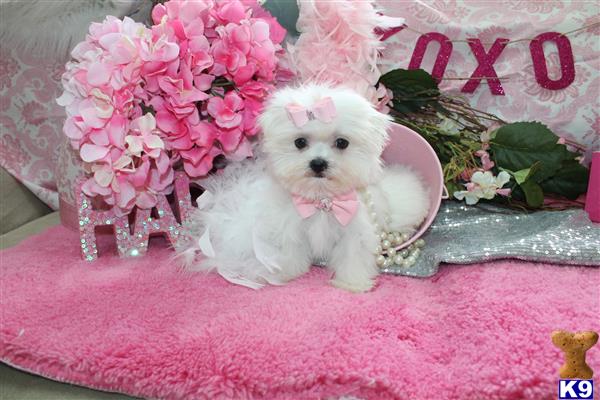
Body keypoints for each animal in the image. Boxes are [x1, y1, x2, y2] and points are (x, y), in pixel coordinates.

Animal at [180, 84, 428, 290]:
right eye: (300, 142)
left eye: (342, 143)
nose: (318, 163)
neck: (322, 200)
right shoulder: (292, 226)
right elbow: (291, 249)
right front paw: (284, 272)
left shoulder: (355, 230)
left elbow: (353, 255)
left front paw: (352, 283)